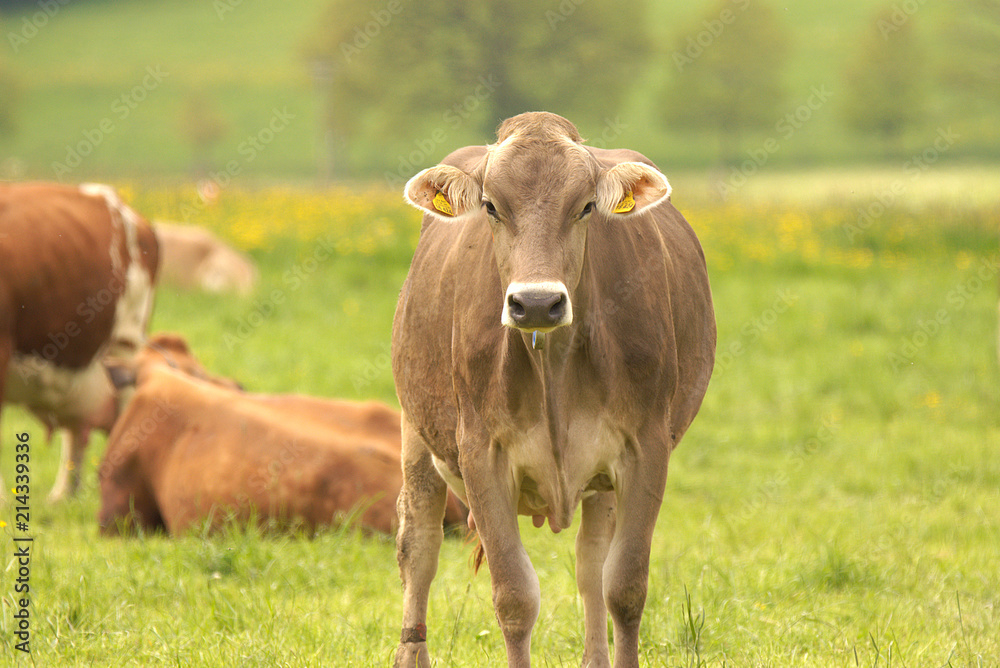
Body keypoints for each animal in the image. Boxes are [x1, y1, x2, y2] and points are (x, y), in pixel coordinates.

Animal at [390, 112, 720, 664]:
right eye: (490, 206)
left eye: (585, 206)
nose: (538, 303)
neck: (555, 368)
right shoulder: (480, 452)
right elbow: (515, 596)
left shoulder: (646, 447)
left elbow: (623, 586)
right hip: (417, 434)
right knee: (418, 548)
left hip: (601, 478)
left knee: (591, 565)